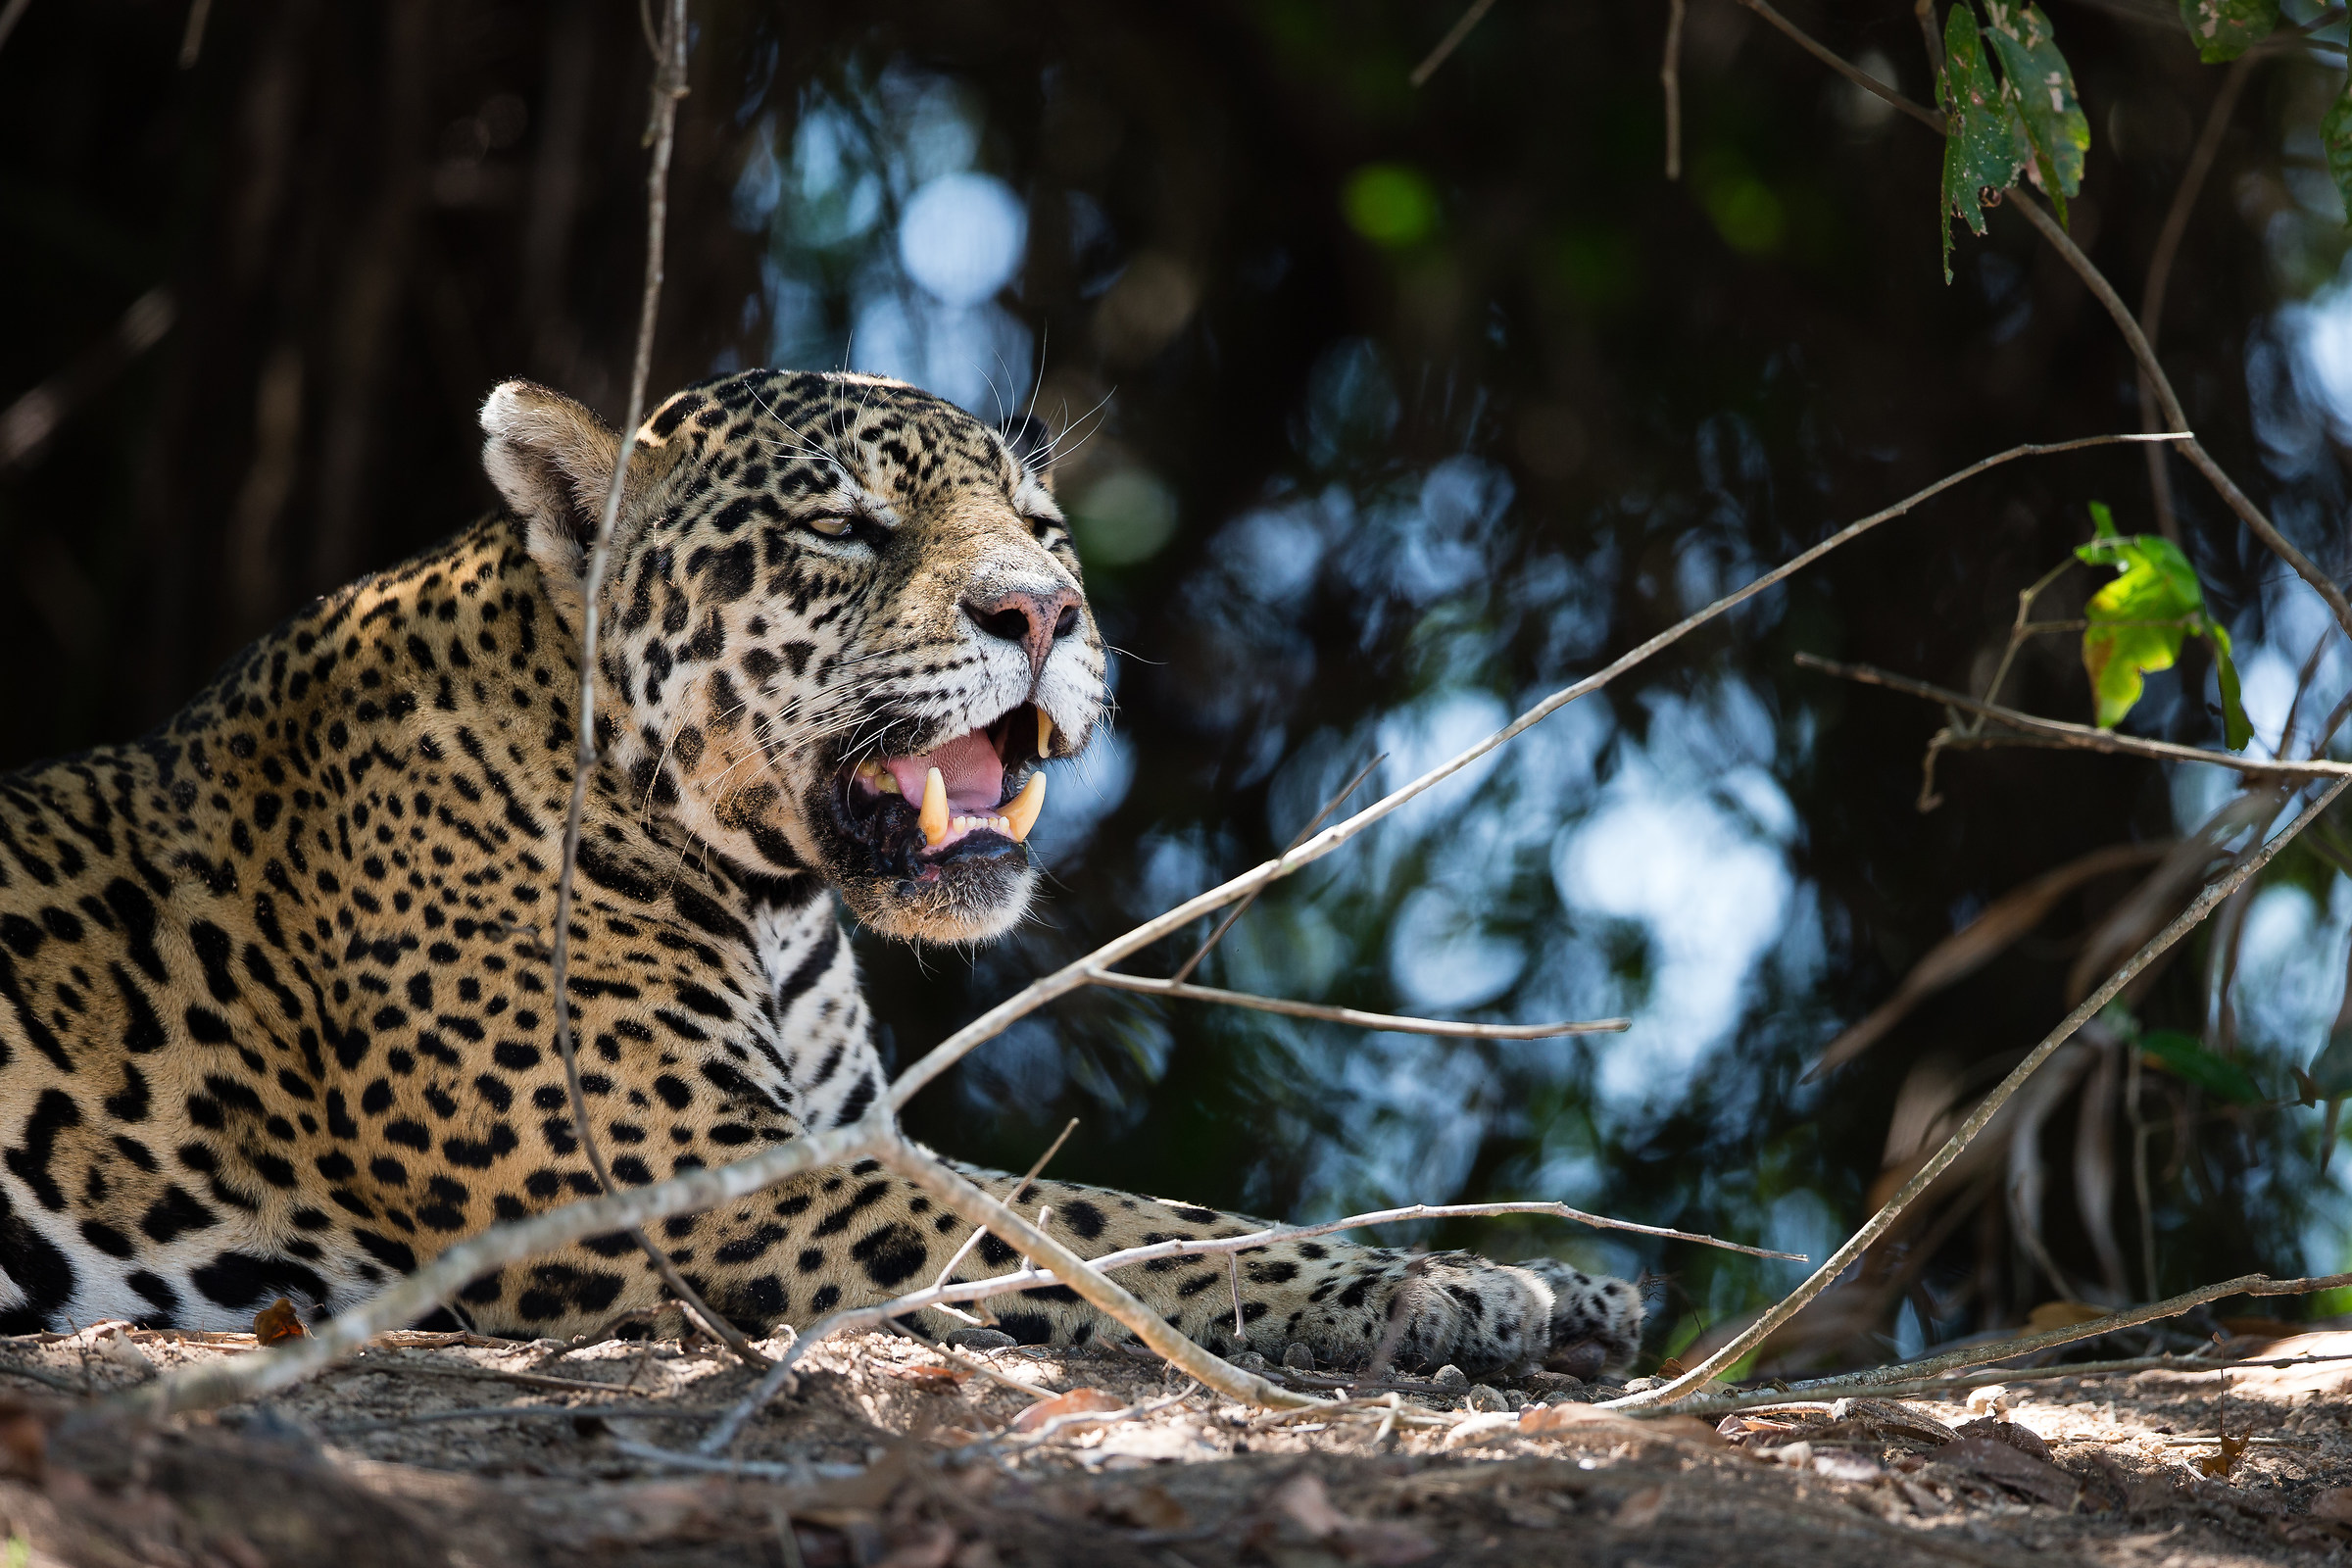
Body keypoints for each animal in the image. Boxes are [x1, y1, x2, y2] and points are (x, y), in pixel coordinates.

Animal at [0, 367, 1642, 1380]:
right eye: (847, 529)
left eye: (1042, 528)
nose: (1043, 612)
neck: (774, 904)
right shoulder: (690, 1186)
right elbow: (1092, 1225)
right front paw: (1441, 1289)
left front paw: (1558, 1285)